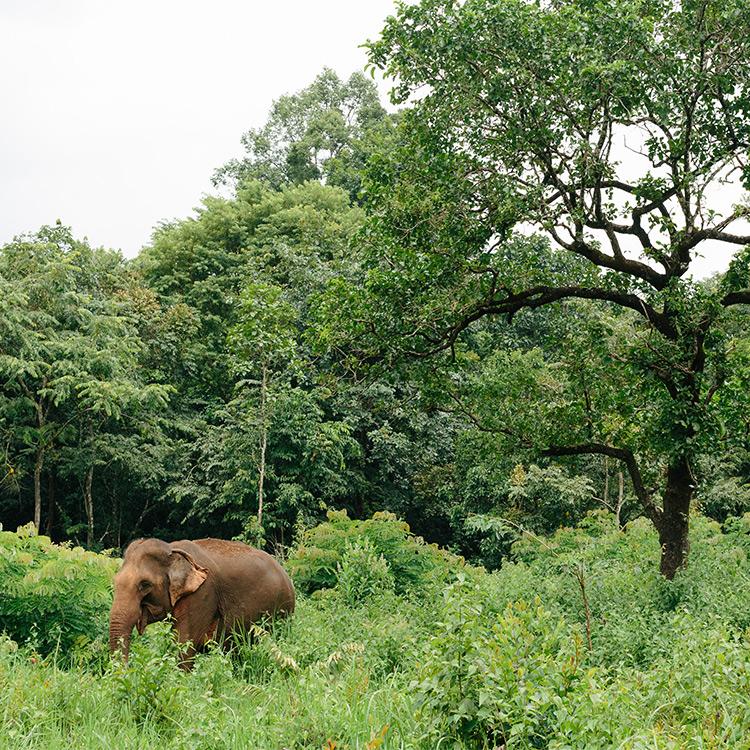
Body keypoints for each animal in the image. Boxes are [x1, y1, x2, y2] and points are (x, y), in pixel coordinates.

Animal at [109, 536, 296, 668]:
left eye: (145, 584)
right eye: (115, 581)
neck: (172, 549)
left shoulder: (202, 594)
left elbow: (185, 644)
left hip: (281, 610)